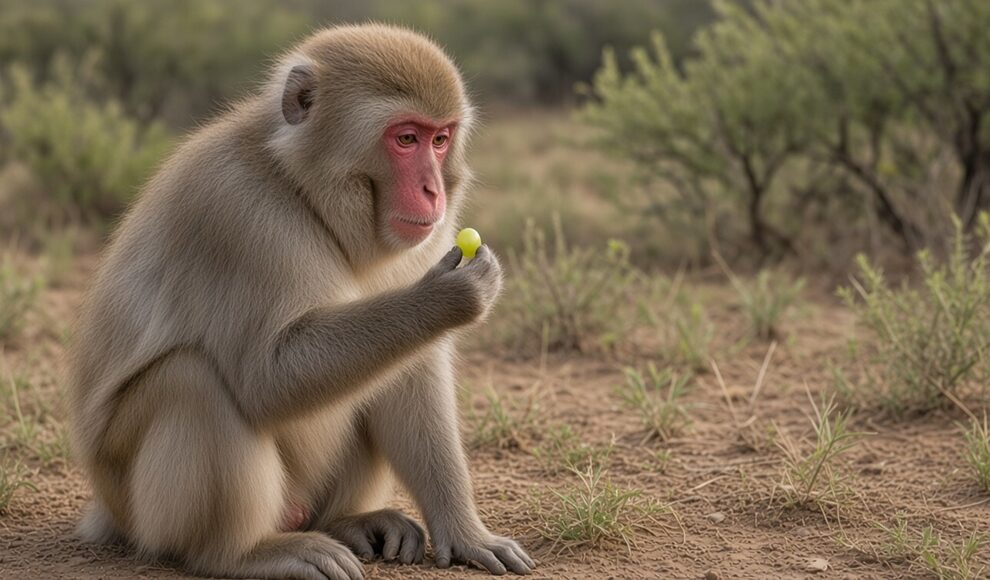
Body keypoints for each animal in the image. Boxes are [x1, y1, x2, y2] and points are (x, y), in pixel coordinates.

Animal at [67, 24, 535, 580]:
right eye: (405, 139)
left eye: (440, 140)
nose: (433, 190)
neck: (298, 185)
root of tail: (106, 511)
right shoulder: (237, 214)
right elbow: (264, 377)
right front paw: (447, 299)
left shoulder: (426, 237)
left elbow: (412, 370)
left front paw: (466, 533)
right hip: (138, 510)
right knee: (193, 381)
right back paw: (240, 552)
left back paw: (347, 521)